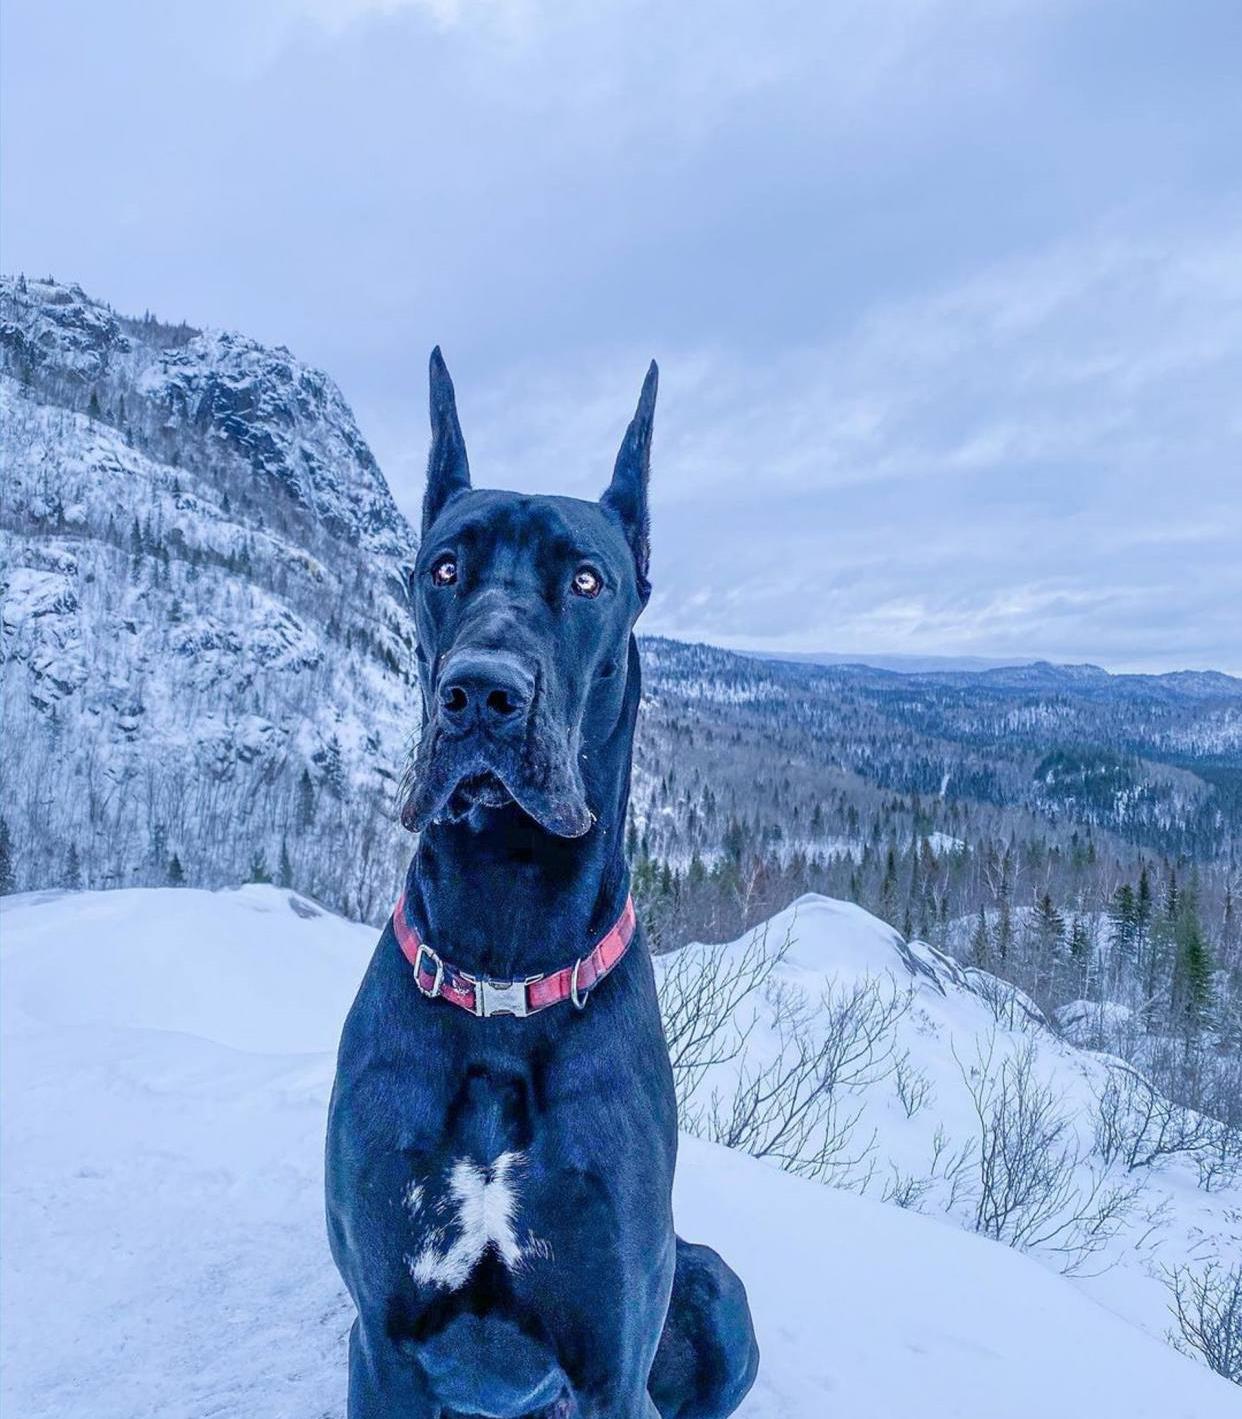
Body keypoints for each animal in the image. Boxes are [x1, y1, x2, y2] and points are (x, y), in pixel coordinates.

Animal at [327, 351, 755, 1419]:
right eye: (443, 567)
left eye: (588, 579)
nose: (482, 693)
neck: (505, 949)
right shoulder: (381, 1345)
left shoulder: (610, 1363)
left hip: (718, 1287)